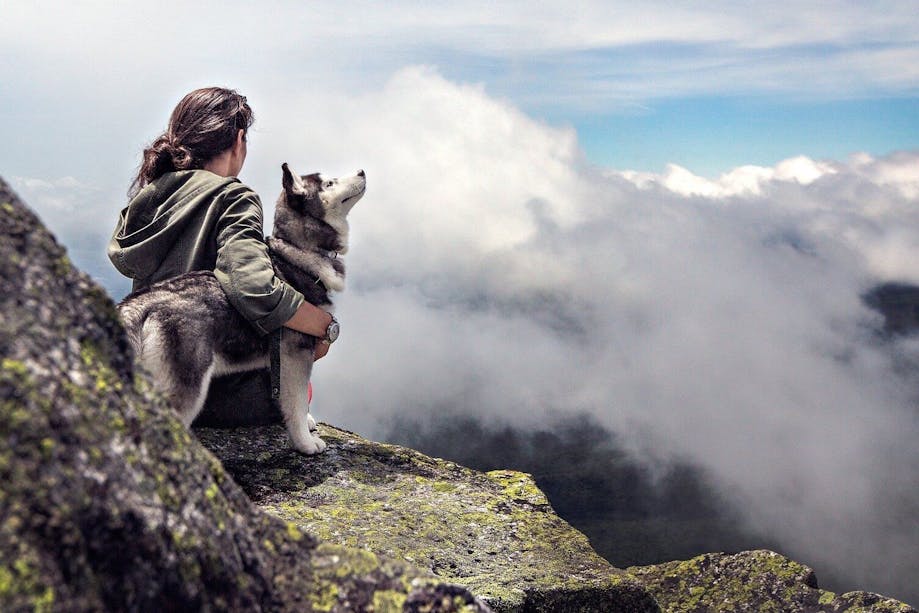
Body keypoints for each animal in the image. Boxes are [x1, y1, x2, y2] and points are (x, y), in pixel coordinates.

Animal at [118, 165, 366, 452]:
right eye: (329, 183)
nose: (362, 171)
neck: (296, 252)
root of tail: (138, 303)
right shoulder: (296, 353)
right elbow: (296, 400)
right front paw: (304, 443)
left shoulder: (279, 361)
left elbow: (290, 399)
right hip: (187, 384)